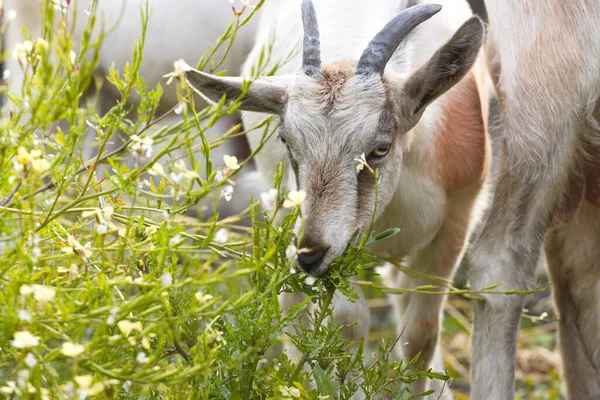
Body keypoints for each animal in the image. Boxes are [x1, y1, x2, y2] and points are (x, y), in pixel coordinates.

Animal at [185, 0, 490, 396]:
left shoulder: (455, 224)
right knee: (294, 305)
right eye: (286, 140)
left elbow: (421, 336)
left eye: (379, 148)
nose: (309, 255)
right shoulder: (341, 246)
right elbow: (349, 326)